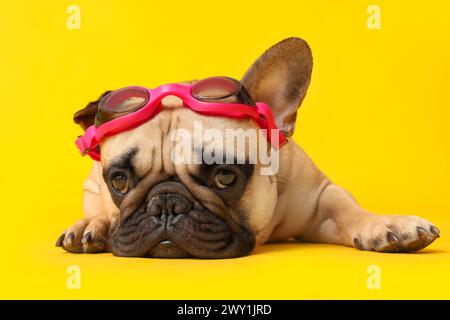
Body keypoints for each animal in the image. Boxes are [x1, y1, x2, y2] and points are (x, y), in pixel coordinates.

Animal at [56, 37, 440, 258]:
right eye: (119, 181)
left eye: (225, 177)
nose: (166, 204)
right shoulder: (97, 184)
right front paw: (97, 224)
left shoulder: (322, 198)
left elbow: (349, 211)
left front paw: (388, 225)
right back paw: (92, 226)